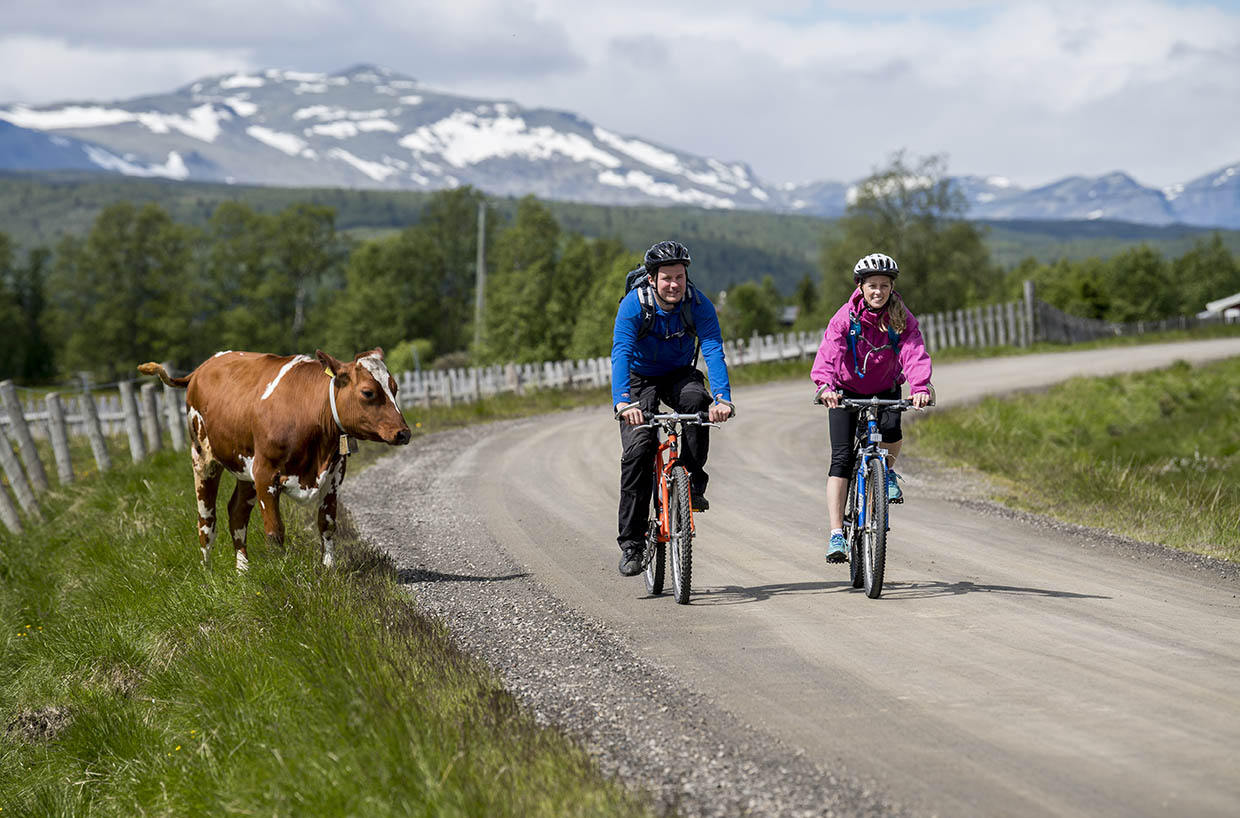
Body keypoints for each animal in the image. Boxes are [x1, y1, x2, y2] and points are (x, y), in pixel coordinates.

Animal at [138, 349, 411, 572]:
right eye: (368, 392)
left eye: (395, 388)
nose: (404, 433)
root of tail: (200, 368)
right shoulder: (265, 476)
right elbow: (275, 531)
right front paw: (280, 572)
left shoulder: (334, 475)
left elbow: (327, 523)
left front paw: (329, 569)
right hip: (204, 459)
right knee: (206, 520)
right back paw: (208, 574)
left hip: (245, 469)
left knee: (236, 512)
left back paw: (243, 570)